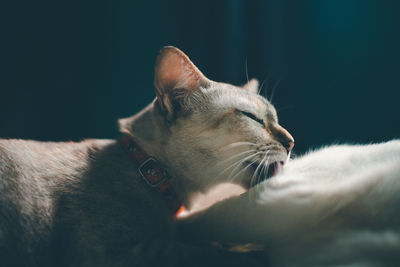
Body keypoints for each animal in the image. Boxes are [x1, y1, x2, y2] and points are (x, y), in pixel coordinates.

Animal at [0, 46, 294, 267]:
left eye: (276, 119)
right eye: (252, 118)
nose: (291, 142)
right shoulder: (118, 252)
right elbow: (205, 250)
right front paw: (251, 251)